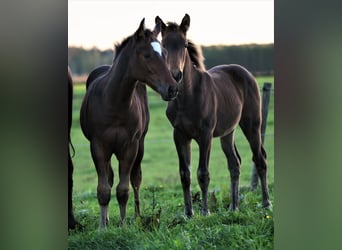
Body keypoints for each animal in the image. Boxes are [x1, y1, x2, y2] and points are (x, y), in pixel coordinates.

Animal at [79, 18, 178, 228]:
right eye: (147, 55)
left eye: (165, 54)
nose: (172, 88)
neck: (114, 103)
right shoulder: (98, 146)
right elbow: (103, 189)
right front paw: (102, 226)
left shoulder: (130, 146)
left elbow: (123, 189)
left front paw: (123, 225)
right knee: (109, 178)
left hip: (140, 146)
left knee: (136, 179)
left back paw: (137, 216)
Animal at [154, 14, 270, 217]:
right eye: (163, 45)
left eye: (184, 44)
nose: (175, 76)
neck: (187, 98)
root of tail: (246, 73)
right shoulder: (180, 135)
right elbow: (185, 173)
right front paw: (188, 214)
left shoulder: (205, 135)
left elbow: (203, 173)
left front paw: (205, 212)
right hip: (227, 132)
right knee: (234, 163)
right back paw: (233, 207)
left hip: (252, 125)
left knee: (260, 159)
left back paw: (266, 203)